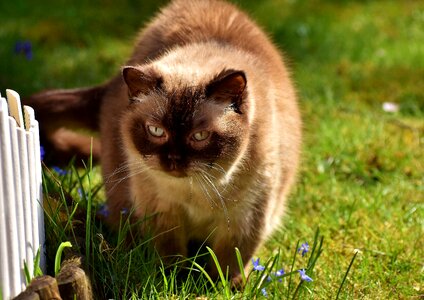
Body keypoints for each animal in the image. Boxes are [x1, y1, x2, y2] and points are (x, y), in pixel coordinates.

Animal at [24, 0, 302, 284]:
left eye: (199, 136)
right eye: (157, 131)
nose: (174, 160)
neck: (197, 191)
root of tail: (112, 84)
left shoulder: (245, 219)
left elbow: (229, 263)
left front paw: (221, 287)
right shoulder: (162, 213)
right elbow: (171, 257)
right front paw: (175, 282)